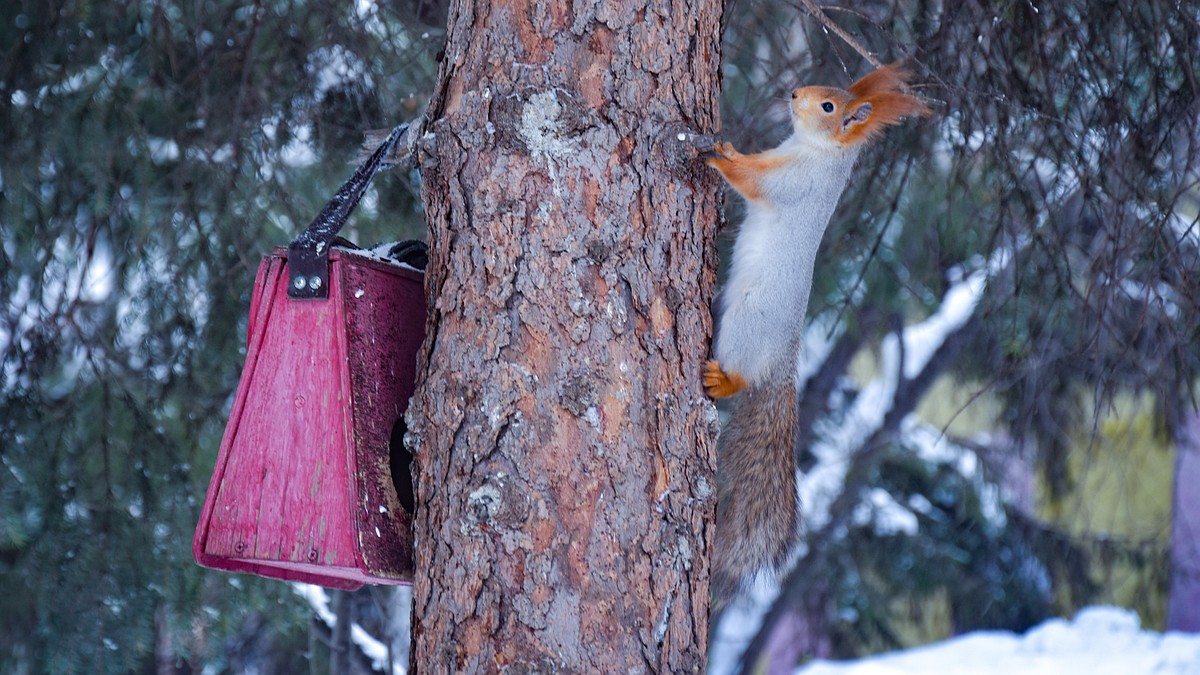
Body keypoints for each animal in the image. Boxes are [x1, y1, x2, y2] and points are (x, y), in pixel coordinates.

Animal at [700, 64, 931, 598]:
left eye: (828, 107)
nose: (793, 93)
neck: (811, 150)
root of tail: (782, 367)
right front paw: (729, 146)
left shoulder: (795, 184)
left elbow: (753, 181)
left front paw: (721, 155)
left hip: (748, 323)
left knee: (740, 376)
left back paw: (723, 380)